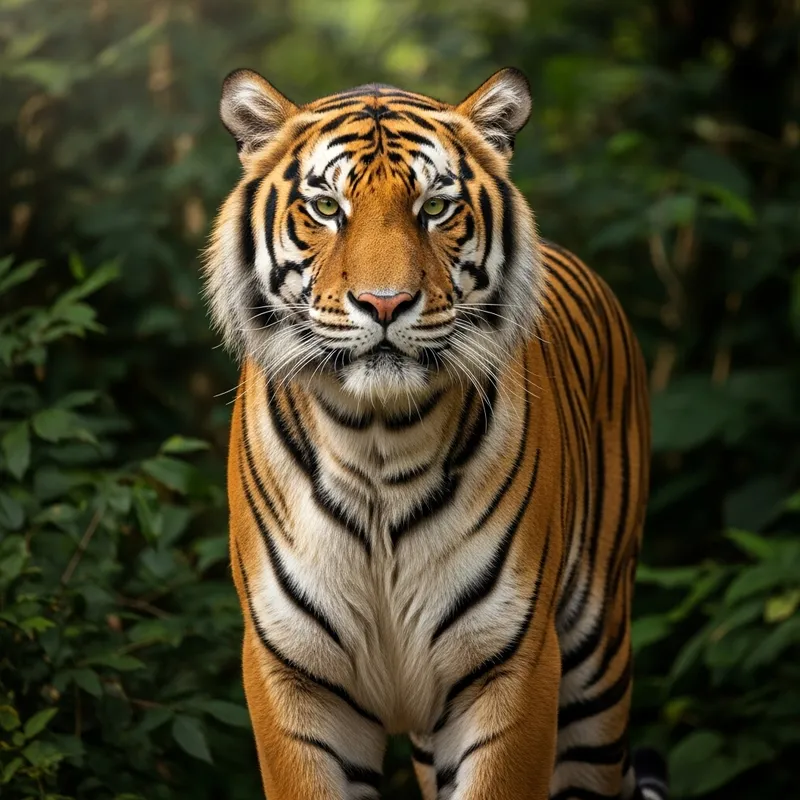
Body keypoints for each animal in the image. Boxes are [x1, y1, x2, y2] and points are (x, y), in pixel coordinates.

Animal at [203, 65, 669, 800]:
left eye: (437, 208)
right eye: (327, 208)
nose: (386, 303)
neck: (375, 440)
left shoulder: (513, 665)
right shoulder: (293, 675)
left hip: (597, 664)